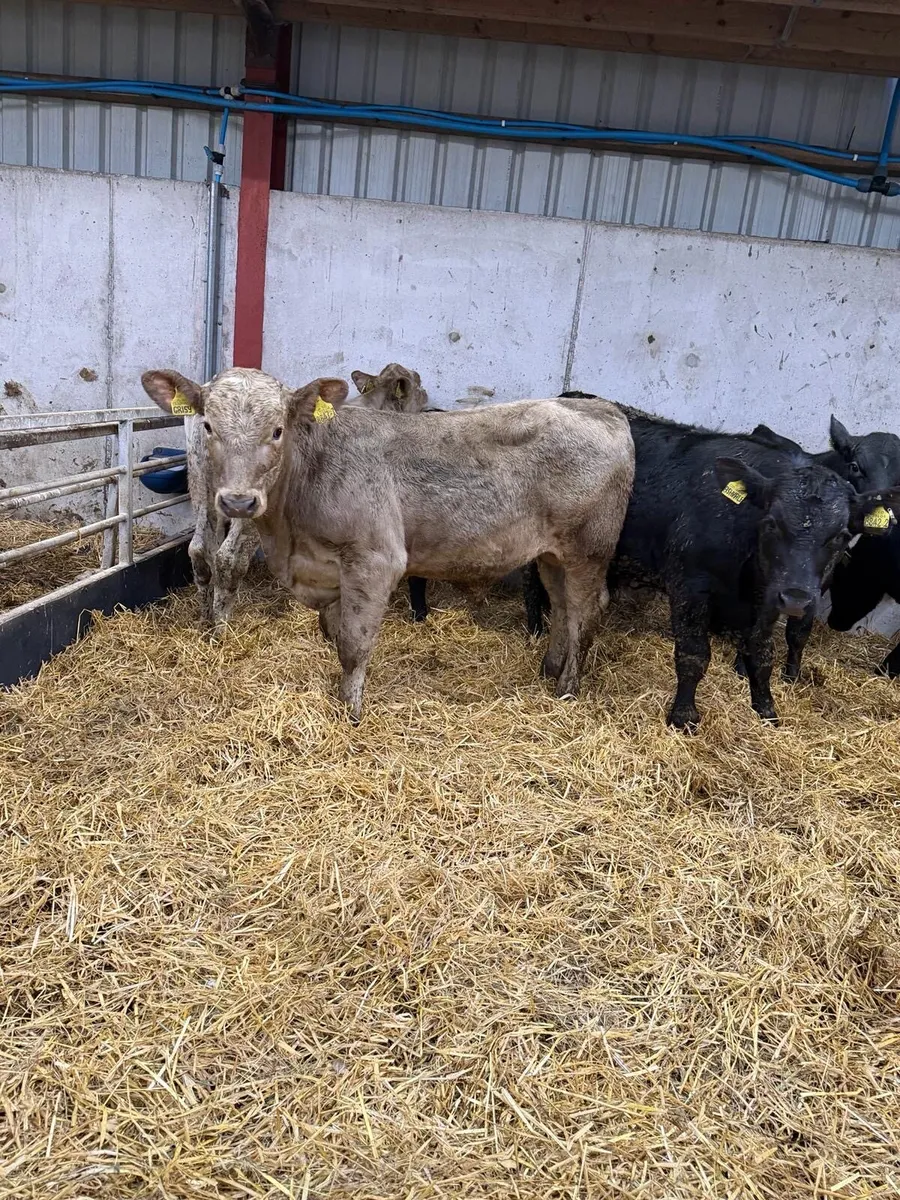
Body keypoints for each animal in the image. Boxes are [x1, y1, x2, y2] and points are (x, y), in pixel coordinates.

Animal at [140, 366, 635, 721]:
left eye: (278, 429)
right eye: (207, 425)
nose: (238, 501)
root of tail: (602, 410)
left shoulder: (375, 559)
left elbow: (353, 644)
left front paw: (350, 713)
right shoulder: (329, 572)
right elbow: (333, 633)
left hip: (589, 550)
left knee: (586, 613)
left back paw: (567, 690)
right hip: (552, 555)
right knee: (563, 608)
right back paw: (549, 670)